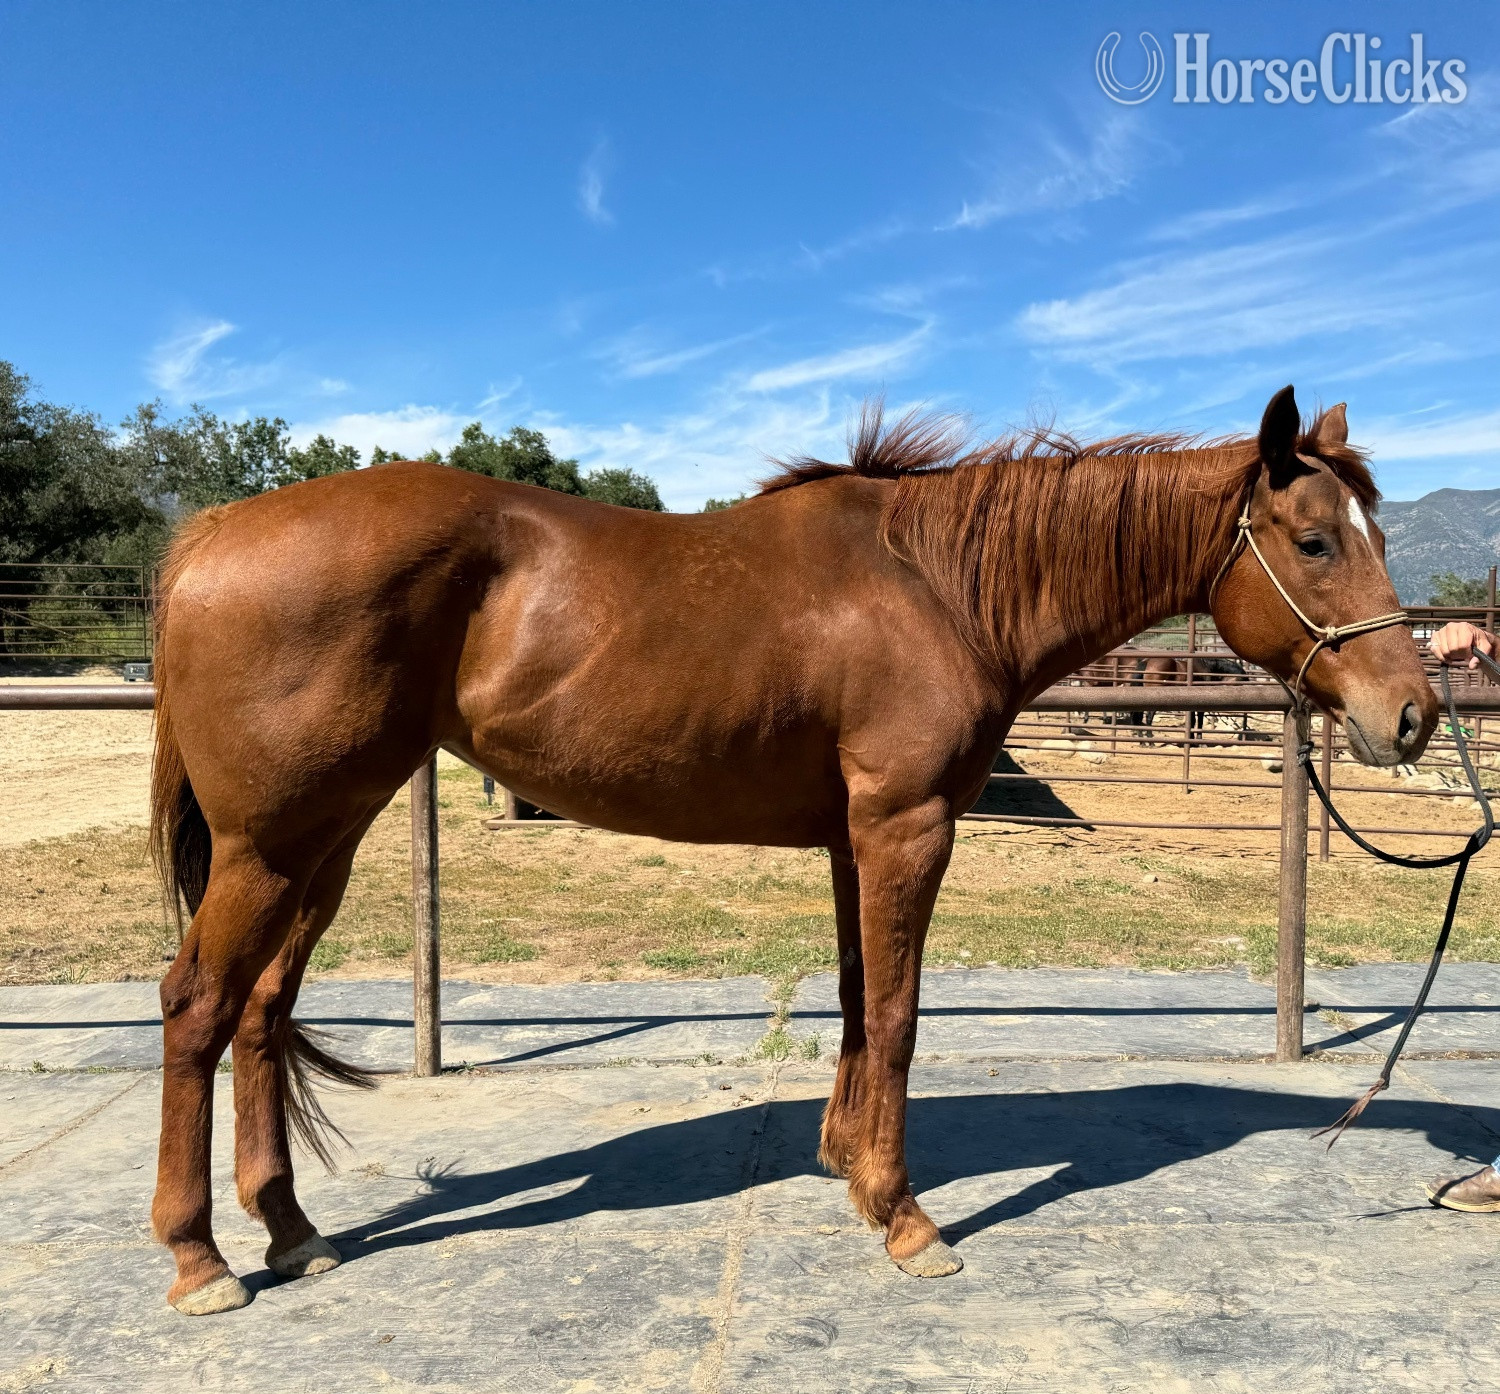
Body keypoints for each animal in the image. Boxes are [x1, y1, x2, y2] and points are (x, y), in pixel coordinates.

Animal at [145, 385, 1434, 1313]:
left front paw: (845, 1165)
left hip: (324, 840)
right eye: (1314, 541)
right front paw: (906, 1217)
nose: (1413, 715)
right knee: (198, 1002)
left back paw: (293, 1231)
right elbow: (901, 1014)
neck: (938, 583)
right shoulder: (906, 824)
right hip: (272, 844)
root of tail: (212, 532)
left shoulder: (852, 837)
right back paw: (200, 1258)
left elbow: (863, 1001)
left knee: (262, 1010)